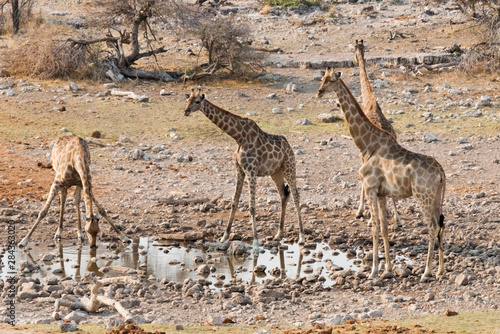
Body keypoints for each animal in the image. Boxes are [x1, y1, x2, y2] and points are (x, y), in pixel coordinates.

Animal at [184, 87, 304, 249]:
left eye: (197, 101)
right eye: (188, 99)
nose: (186, 111)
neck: (239, 137)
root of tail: (289, 146)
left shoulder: (251, 170)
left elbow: (252, 207)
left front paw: (255, 240)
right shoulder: (239, 170)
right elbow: (234, 203)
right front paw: (224, 236)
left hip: (289, 167)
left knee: (296, 196)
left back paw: (301, 237)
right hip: (276, 172)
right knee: (284, 194)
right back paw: (278, 234)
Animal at [316, 66, 446, 280]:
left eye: (331, 80)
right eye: (322, 78)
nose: (319, 92)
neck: (368, 144)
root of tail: (442, 173)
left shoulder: (370, 188)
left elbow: (375, 228)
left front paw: (374, 271)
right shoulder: (382, 193)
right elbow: (384, 228)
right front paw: (388, 268)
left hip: (423, 196)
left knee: (432, 226)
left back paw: (427, 271)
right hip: (436, 198)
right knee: (441, 224)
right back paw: (440, 270)